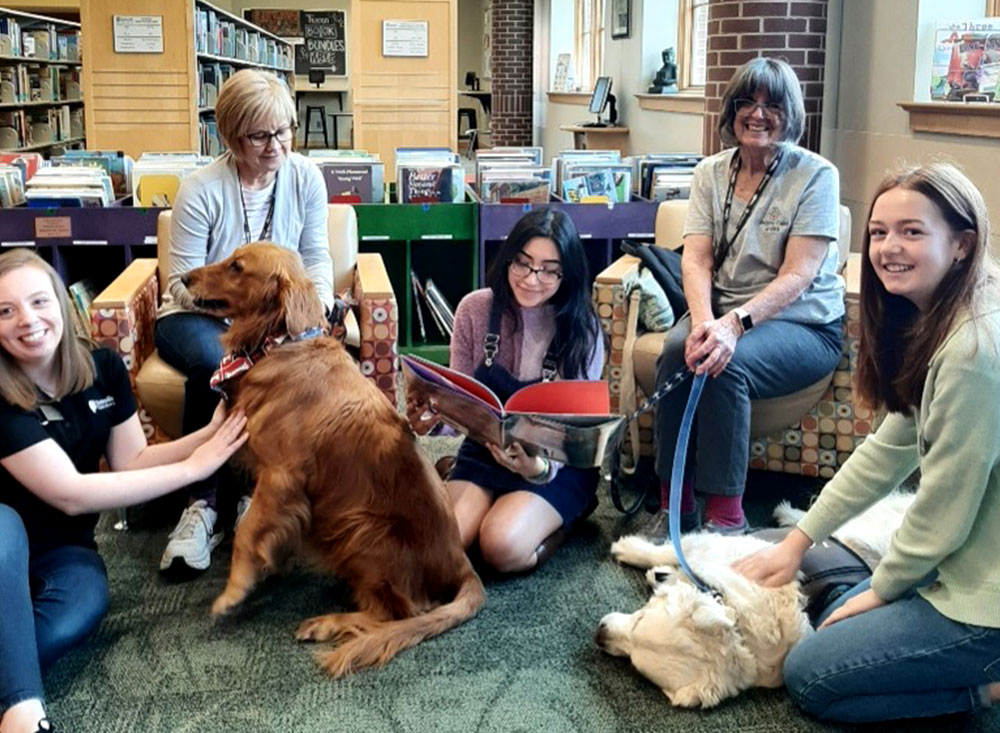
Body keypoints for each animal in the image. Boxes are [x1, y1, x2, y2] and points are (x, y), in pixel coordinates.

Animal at [182, 242, 485, 677]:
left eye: (237, 267)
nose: (184, 277)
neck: (280, 344)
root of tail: (462, 563)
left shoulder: (281, 476)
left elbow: (247, 531)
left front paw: (234, 589)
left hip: (361, 529)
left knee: (396, 612)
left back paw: (328, 623)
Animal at [595, 492, 913, 708]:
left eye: (634, 663)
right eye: (639, 617)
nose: (599, 633)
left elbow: (671, 552)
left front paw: (631, 552)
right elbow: (669, 553)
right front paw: (645, 562)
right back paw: (786, 512)